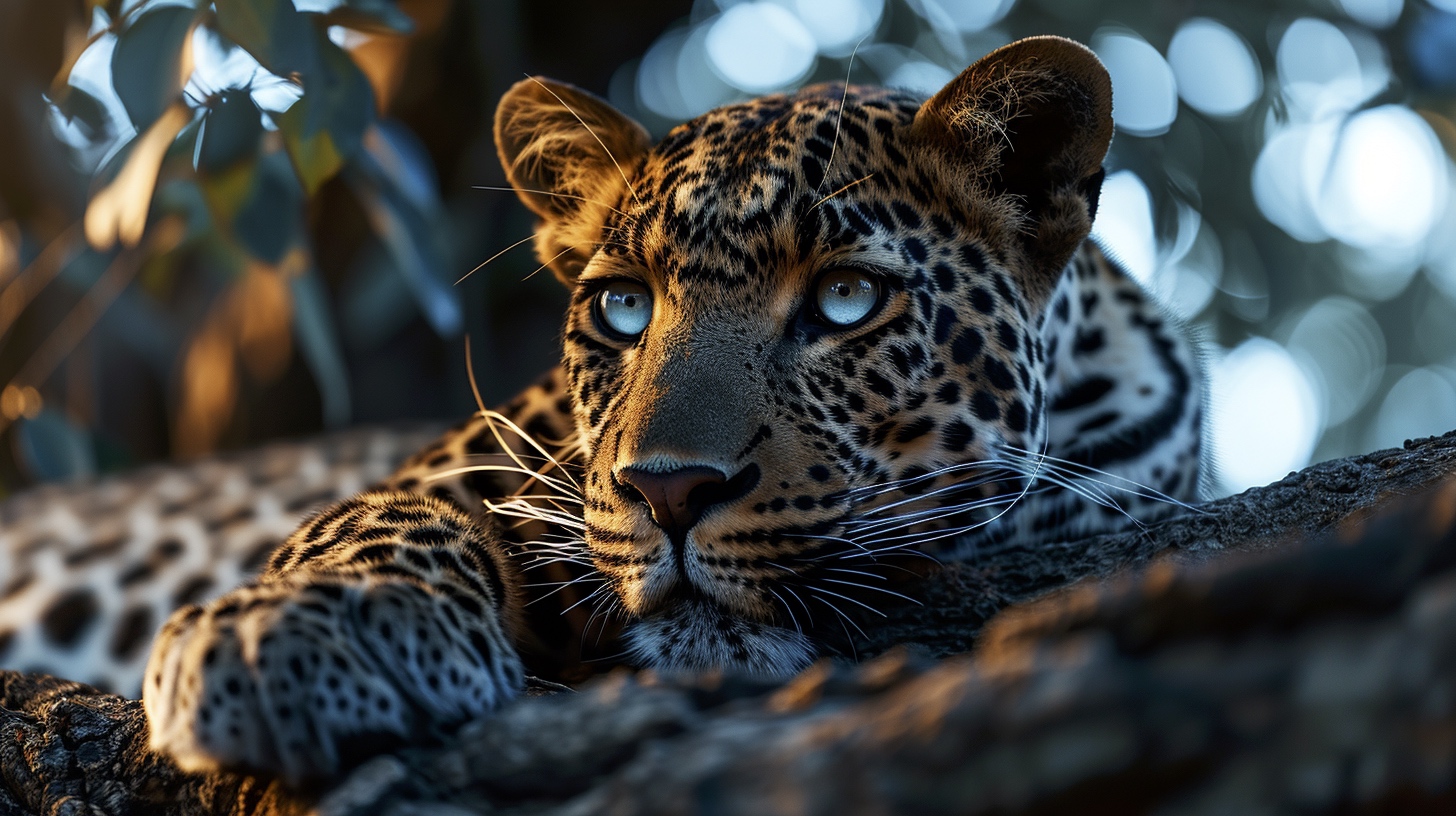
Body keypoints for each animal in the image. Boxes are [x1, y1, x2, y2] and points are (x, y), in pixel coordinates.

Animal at [0, 36, 1203, 784]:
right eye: (624, 307)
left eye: (845, 300)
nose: (670, 492)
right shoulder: (478, 464)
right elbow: (371, 515)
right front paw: (292, 633)